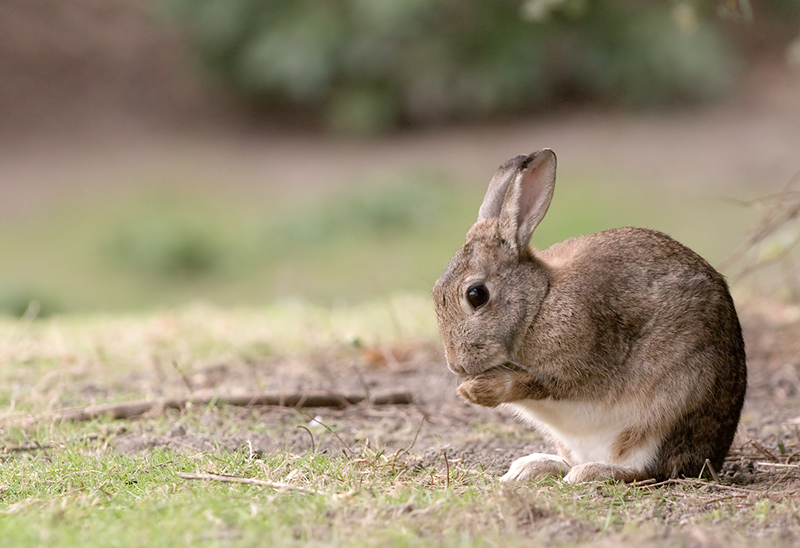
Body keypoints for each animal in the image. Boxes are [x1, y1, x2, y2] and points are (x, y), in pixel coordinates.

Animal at [434, 150, 748, 484]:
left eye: (476, 295)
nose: (457, 366)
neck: (538, 304)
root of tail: (713, 456)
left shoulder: (579, 362)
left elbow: (539, 384)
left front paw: (475, 390)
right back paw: (530, 467)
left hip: (670, 408)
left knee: (648, 470)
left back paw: (589, 473)